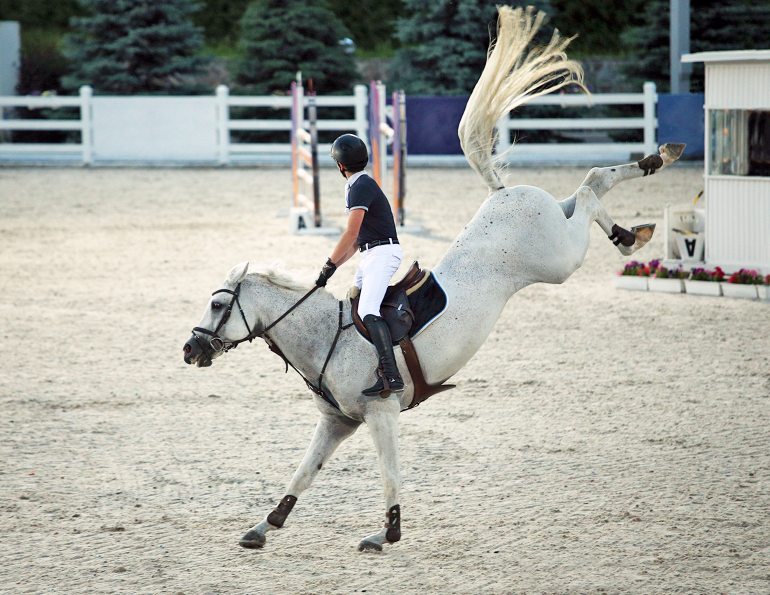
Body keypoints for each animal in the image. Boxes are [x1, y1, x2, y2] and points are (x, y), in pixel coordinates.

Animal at [183, 5, 684, 552]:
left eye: (217, 305)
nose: (189, 350)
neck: (322, 339)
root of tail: (501, 193)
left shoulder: (381, 414)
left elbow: (388, 473)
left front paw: (388, 531)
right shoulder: (336, 422)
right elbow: (303, 473)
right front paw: (264, 525)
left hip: (557, 258)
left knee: (591, 190)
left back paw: (639, 211)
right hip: (555, 229)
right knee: (588, 186)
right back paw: (642, 197)